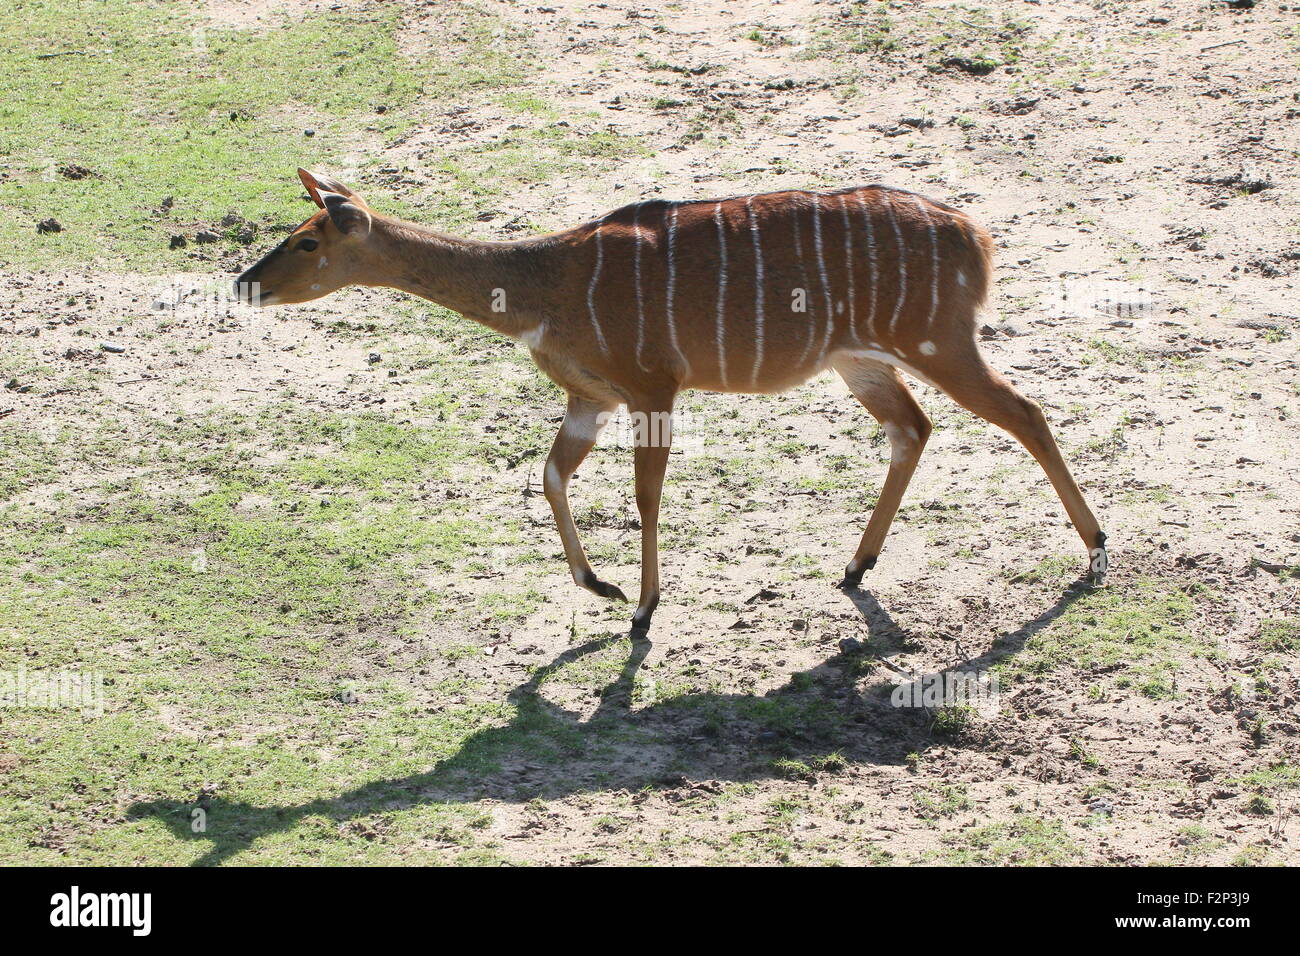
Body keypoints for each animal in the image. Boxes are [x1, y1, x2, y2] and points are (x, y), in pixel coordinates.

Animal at [236, 171, 1107, 634]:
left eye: (308, 240)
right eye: (289, 230)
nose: (245, 282)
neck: (544, 284)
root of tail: (975, 235)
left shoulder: (653, 387)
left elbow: (644, 495)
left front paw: (645, 606)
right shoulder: (588, 398)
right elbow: (550, 476)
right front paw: (601, 586)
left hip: (939, 344)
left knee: (1024, 413)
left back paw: (1097, 551)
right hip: (859, 360)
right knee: (913, 429)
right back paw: (855, 567)